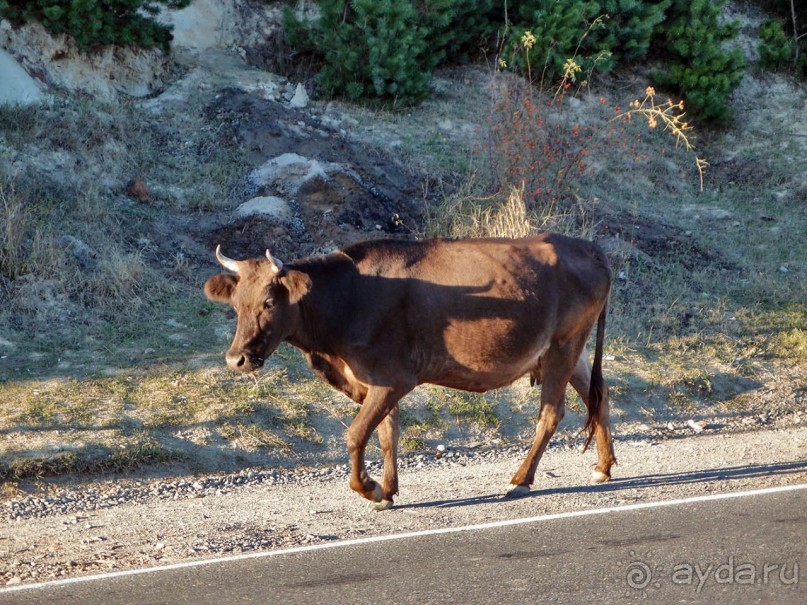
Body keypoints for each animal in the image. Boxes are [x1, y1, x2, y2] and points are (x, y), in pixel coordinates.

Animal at [205, 234, 616, 508]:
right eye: (237, 304)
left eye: (269, 302)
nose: (236, 359)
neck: (348, 299)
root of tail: (584, 246)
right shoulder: (374, 381)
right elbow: (388, 434)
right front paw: (387, 491)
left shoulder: (392, 378)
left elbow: (356, 434)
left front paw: (368, 488)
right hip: (566, 350)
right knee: (599, 396)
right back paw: (603, 467)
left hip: (564, 344)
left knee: (551, 413)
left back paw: (520, 480)